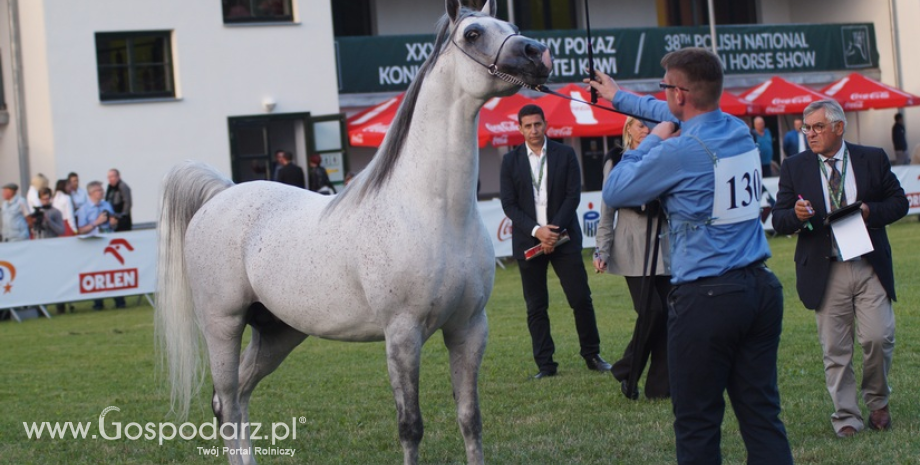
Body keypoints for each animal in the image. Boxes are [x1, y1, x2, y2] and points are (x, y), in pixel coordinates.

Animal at [155, 1, 548, 462]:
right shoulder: (402, 334)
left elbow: (470, 419)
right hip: (223, 326)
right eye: (472, 33)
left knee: (233, 400)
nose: (537, 54)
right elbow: (411, 426)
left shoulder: (469, 329)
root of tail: (220, 194)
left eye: (513, 25)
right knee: (229, 403)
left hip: (278, 332)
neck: (432, 211)